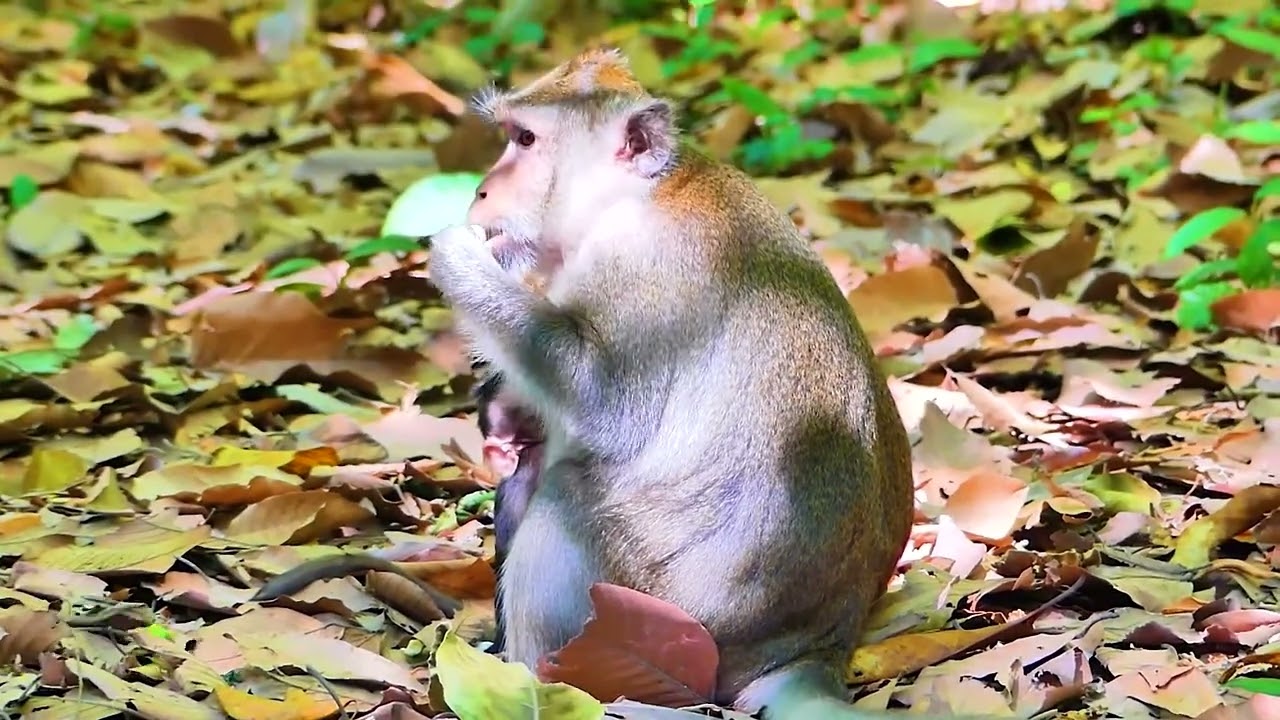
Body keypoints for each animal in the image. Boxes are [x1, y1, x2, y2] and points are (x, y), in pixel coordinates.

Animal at [421, 48, 942, 720]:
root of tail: (818, 641)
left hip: (671, 608)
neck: (642, 194)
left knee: (567, 494)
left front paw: (459, 259)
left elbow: (607, 408)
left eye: (527, 140)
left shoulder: (643, 268)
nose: (482, 190)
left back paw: (528, 683)